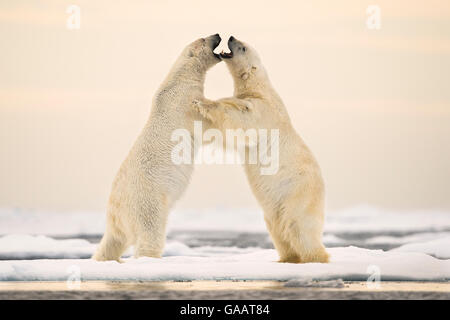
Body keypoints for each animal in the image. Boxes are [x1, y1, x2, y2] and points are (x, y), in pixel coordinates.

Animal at [92, 33, 222, 262]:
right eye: (203, 38)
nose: (217, 34)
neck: (180, 80)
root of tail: (114, 211)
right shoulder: (184, 103)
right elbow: (204, 126)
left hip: (119, 219)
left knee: (112, 243)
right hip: (147, 201)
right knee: (150, 232)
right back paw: (150, 258)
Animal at [192, 37, 328, 262]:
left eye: (243, 47)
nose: (231, 37)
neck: (259, 88)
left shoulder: (263, 110)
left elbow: (243, 123)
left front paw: (202, 102)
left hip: (297, 195)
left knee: (299, 229)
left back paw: (316, 258)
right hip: (274, 209)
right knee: (278, 231)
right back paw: (286, 259)